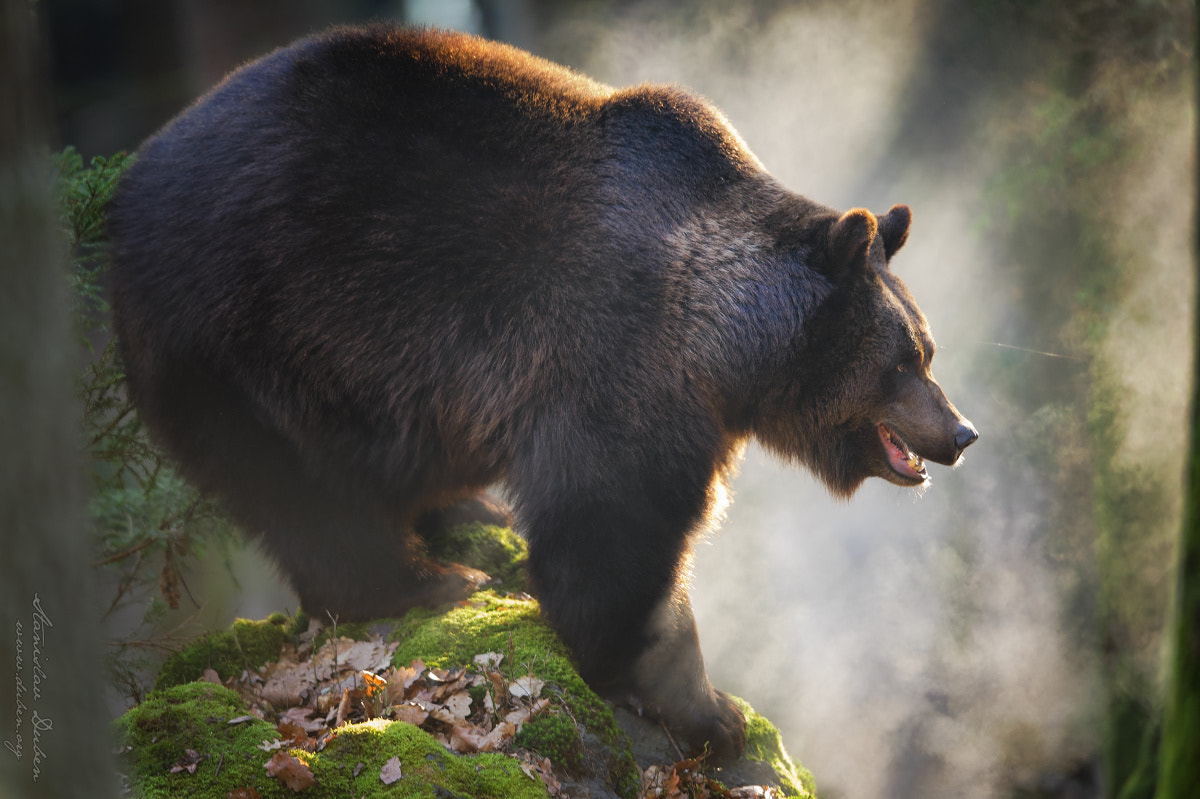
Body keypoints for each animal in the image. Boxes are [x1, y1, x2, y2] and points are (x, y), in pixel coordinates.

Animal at [108, 23, 974, 758]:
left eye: (927, 350)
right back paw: (425, 579)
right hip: (251, 333)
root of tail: (125, 190)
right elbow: (610, 530)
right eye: (903, 361)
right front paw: (703, 703)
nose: (962, 432)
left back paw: (467, 514)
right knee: (304, 493)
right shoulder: (615, 359)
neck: (721, 343)